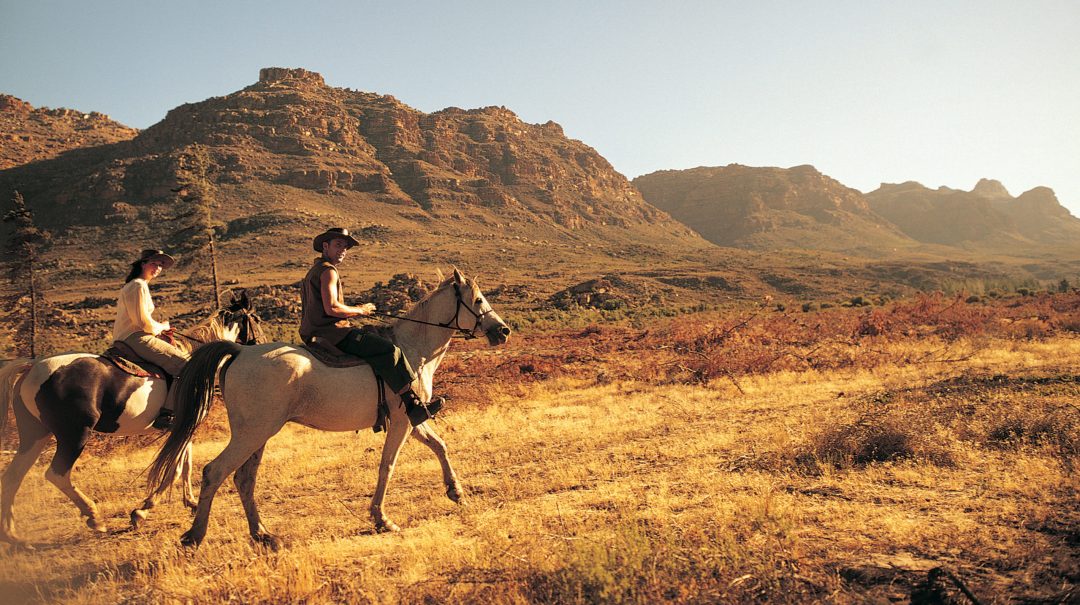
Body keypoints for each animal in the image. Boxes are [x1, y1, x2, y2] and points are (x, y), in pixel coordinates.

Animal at [0, 292, 263, 546]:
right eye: (257, 319)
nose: (259, 347)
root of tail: (32, 367)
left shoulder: (183, 426)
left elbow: (185, 465)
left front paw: (190, 502)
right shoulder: (186, 425)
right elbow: (175, 468)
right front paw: (142, 511)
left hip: (35, 435)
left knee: (13, 477)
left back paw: (13, 535)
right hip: (74, 435)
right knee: (56, 473)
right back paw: (94, 517)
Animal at [147, 269, 511, 549]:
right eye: (478, 300)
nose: (503, 331)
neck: (413, 349)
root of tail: (239, 351)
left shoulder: (413, 418)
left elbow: (440, 446)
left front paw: (456, 491)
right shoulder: (402, 422)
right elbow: (388, 465)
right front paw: (381, 518)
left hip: (257, 435)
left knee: (243, 479)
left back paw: (263, 534)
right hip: (252, 433)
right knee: (216, 472)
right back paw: (194, 535)